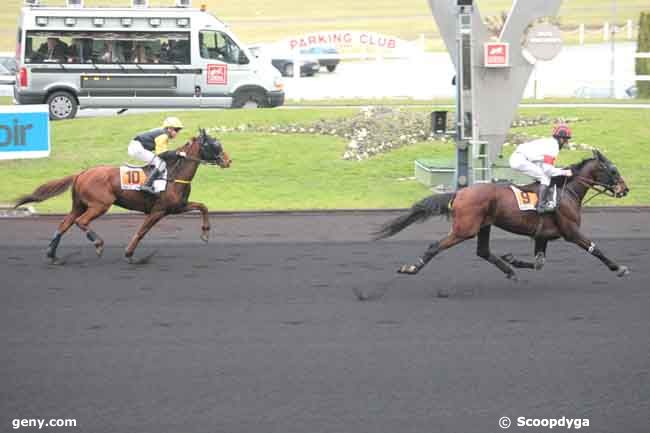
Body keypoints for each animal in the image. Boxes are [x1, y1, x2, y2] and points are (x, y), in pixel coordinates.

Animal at [12, 128, 232, 264]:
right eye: (214, 144)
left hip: (79, 205)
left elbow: (202, 206)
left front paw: (205, 233)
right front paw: (129, 254)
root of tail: (81, 173)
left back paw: (52, 255)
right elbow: (142, 231)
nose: (228, 161)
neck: (174, 173)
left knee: (64, 224)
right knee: (81, 222)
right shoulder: (158, 210)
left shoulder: (177, 207)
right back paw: (98, 244)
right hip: (100, 205)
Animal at [372, 149, 632, 280]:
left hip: (483, 225)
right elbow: (595, 248)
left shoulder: (542, 236)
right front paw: (619, 267)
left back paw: (510, 270)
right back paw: (411, 268)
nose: (625, 189)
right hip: (465, 229)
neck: (566, 191)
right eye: (613, 170)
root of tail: (460, 192)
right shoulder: (571, 231)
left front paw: (513, 259)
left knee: (483, 251)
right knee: (435, 246)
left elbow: (539, 263)